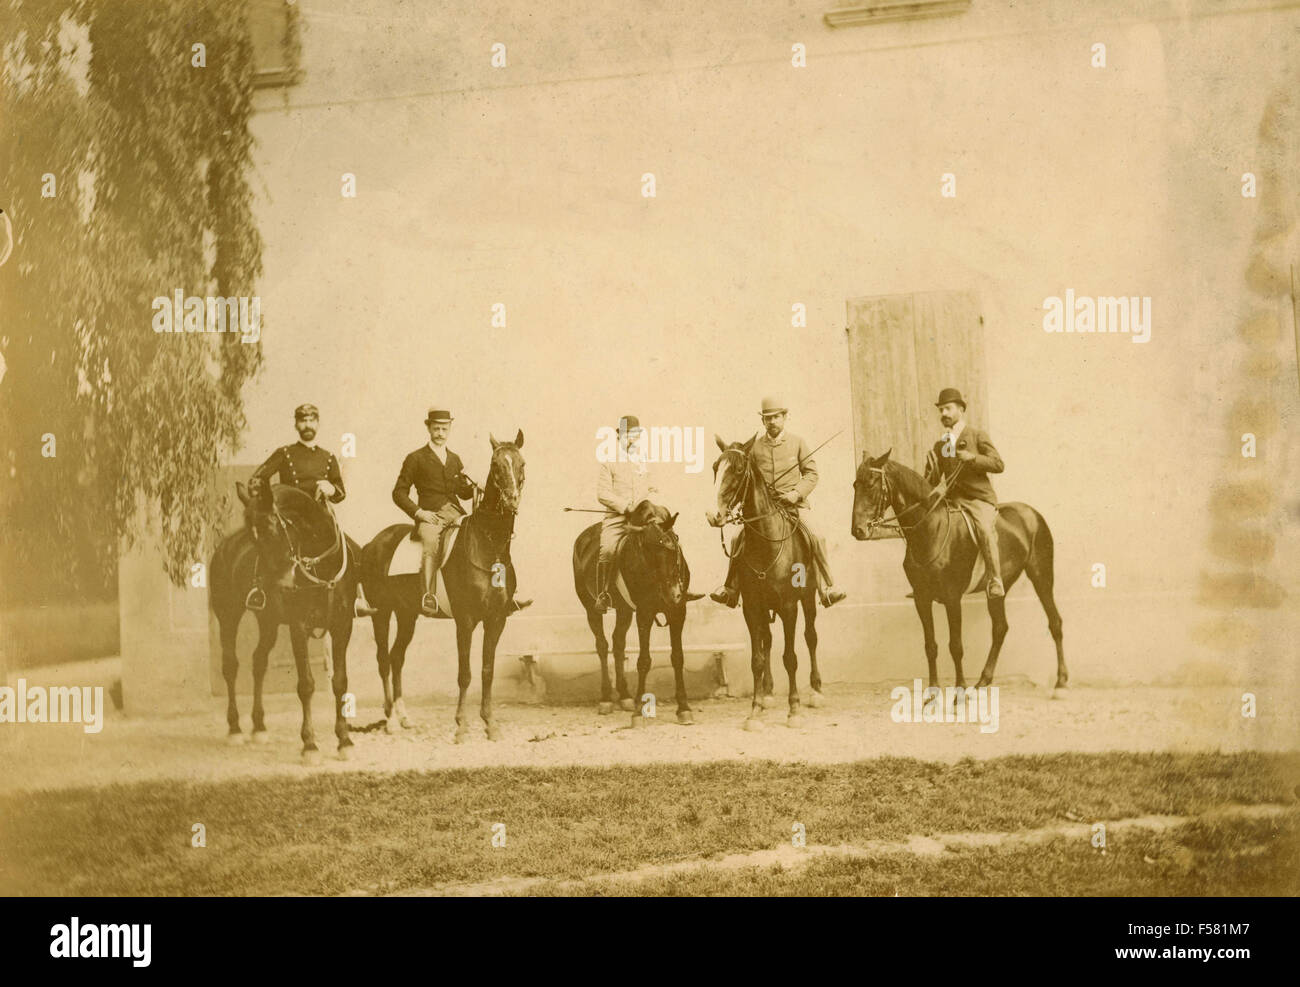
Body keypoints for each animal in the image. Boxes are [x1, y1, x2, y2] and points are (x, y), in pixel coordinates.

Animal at [208, 478, 361, 764]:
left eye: (271, 528)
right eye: (252, 536)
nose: (277, 584)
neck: (321, 567)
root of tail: (224, 546)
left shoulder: (342, 626)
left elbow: (340, 682)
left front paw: (344, 741)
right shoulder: (298, 627)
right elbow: (306, 685)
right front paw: (310, 745)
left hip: (268, 622)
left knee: (258, 661)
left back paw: (259, 726)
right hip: (228, 615)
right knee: (230, 666)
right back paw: (235, 729)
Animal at [358, 431, 525, 738]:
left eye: (521, 464)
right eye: (496, 465)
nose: (511, 501)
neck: (487, 545)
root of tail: (372, 544)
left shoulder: (496, 619)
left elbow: (487, 670)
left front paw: (489, 724)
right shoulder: (466, 620)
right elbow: (465, 674)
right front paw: (461, 726)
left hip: (407, 614)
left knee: (397, 657)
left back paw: (404, 717)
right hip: (382, 613)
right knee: (384, 660)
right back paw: (390, 720)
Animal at [574, 501, 707, 728]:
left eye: (673, 547)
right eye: (648, 550)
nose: (673, 594)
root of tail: (583, 538)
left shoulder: (678, 612)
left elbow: (678, 657)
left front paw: (684, 708)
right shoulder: (644, 613)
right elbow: (644, 661)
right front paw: (638, 712)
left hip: (624, 611)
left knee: (618, 643)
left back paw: (625, 696)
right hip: (591, 607)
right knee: (602, 646)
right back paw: (606, 698)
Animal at [702, 436, 821, 728]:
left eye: (737, 469)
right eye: (715, 467)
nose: (713, 515)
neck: (766, 542)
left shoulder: (789, 606)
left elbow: (790, 657)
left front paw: (794, 710)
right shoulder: (752, 607)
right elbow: (757, 658)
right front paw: (755, 711)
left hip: (808, 599)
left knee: (811, 637)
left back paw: (815, 690)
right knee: (767, 640)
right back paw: (767, 693)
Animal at [852, 447, 1066, 697]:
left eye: (872, 483)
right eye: (855, 485)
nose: (858, 530)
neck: (930, 529)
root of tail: (1031, 513)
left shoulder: (952, 598)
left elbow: (955, 646)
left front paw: (960, 691)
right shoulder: (922, 599)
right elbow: (931, 646)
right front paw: (933, 692)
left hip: (1041, 576)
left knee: (1055, 622)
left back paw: (1061, 681)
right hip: (998, 588)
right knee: (1000, 628)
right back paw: (983, 680)